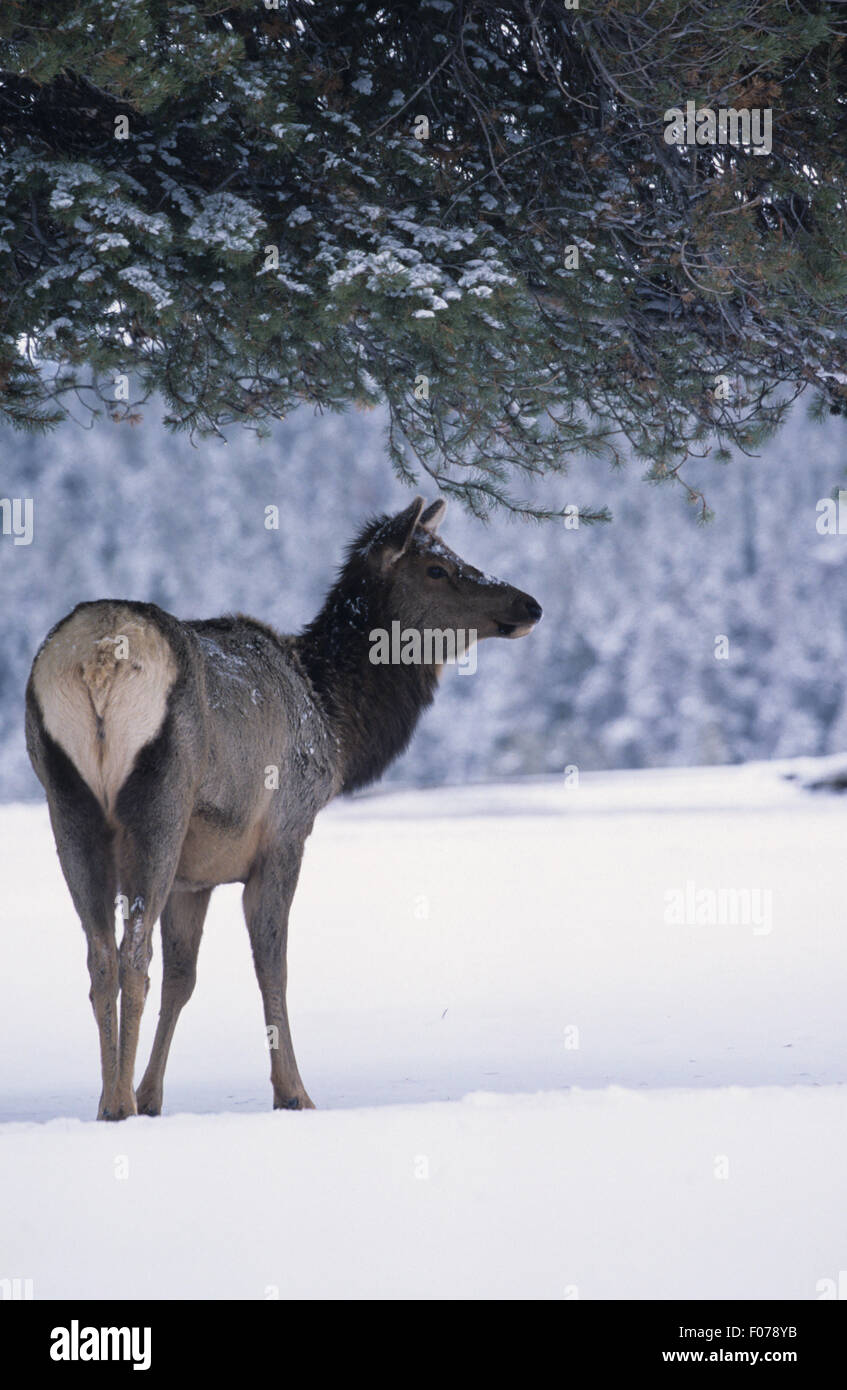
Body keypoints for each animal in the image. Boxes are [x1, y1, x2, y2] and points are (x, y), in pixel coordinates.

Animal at [25, 496, 542, 1120]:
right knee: (132, 953)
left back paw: (110, 1102)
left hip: (66, 799)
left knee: (101, 955)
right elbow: (274, 967)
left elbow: (185, 978)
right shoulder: (285, 834)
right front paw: (293, 1092)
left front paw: (153, 1097)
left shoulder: (196, 877)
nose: (529, 604)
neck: (336, 729)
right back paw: (119, 1102)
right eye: (437, 568)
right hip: (162, 797)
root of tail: (100, 656)